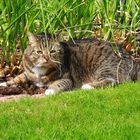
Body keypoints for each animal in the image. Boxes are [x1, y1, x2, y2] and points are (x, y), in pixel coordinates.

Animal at [0, 31, 140, 95]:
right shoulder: (28, 73)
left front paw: (49, 90)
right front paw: (5, 83)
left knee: (112, 81)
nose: (46, 58)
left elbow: (58, 84)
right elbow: (19, 77)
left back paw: (88, 86)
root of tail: (131, 58)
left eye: (52, 51)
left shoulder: (67, 79)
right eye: (39, 52)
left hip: (104, 67)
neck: (40, 71)